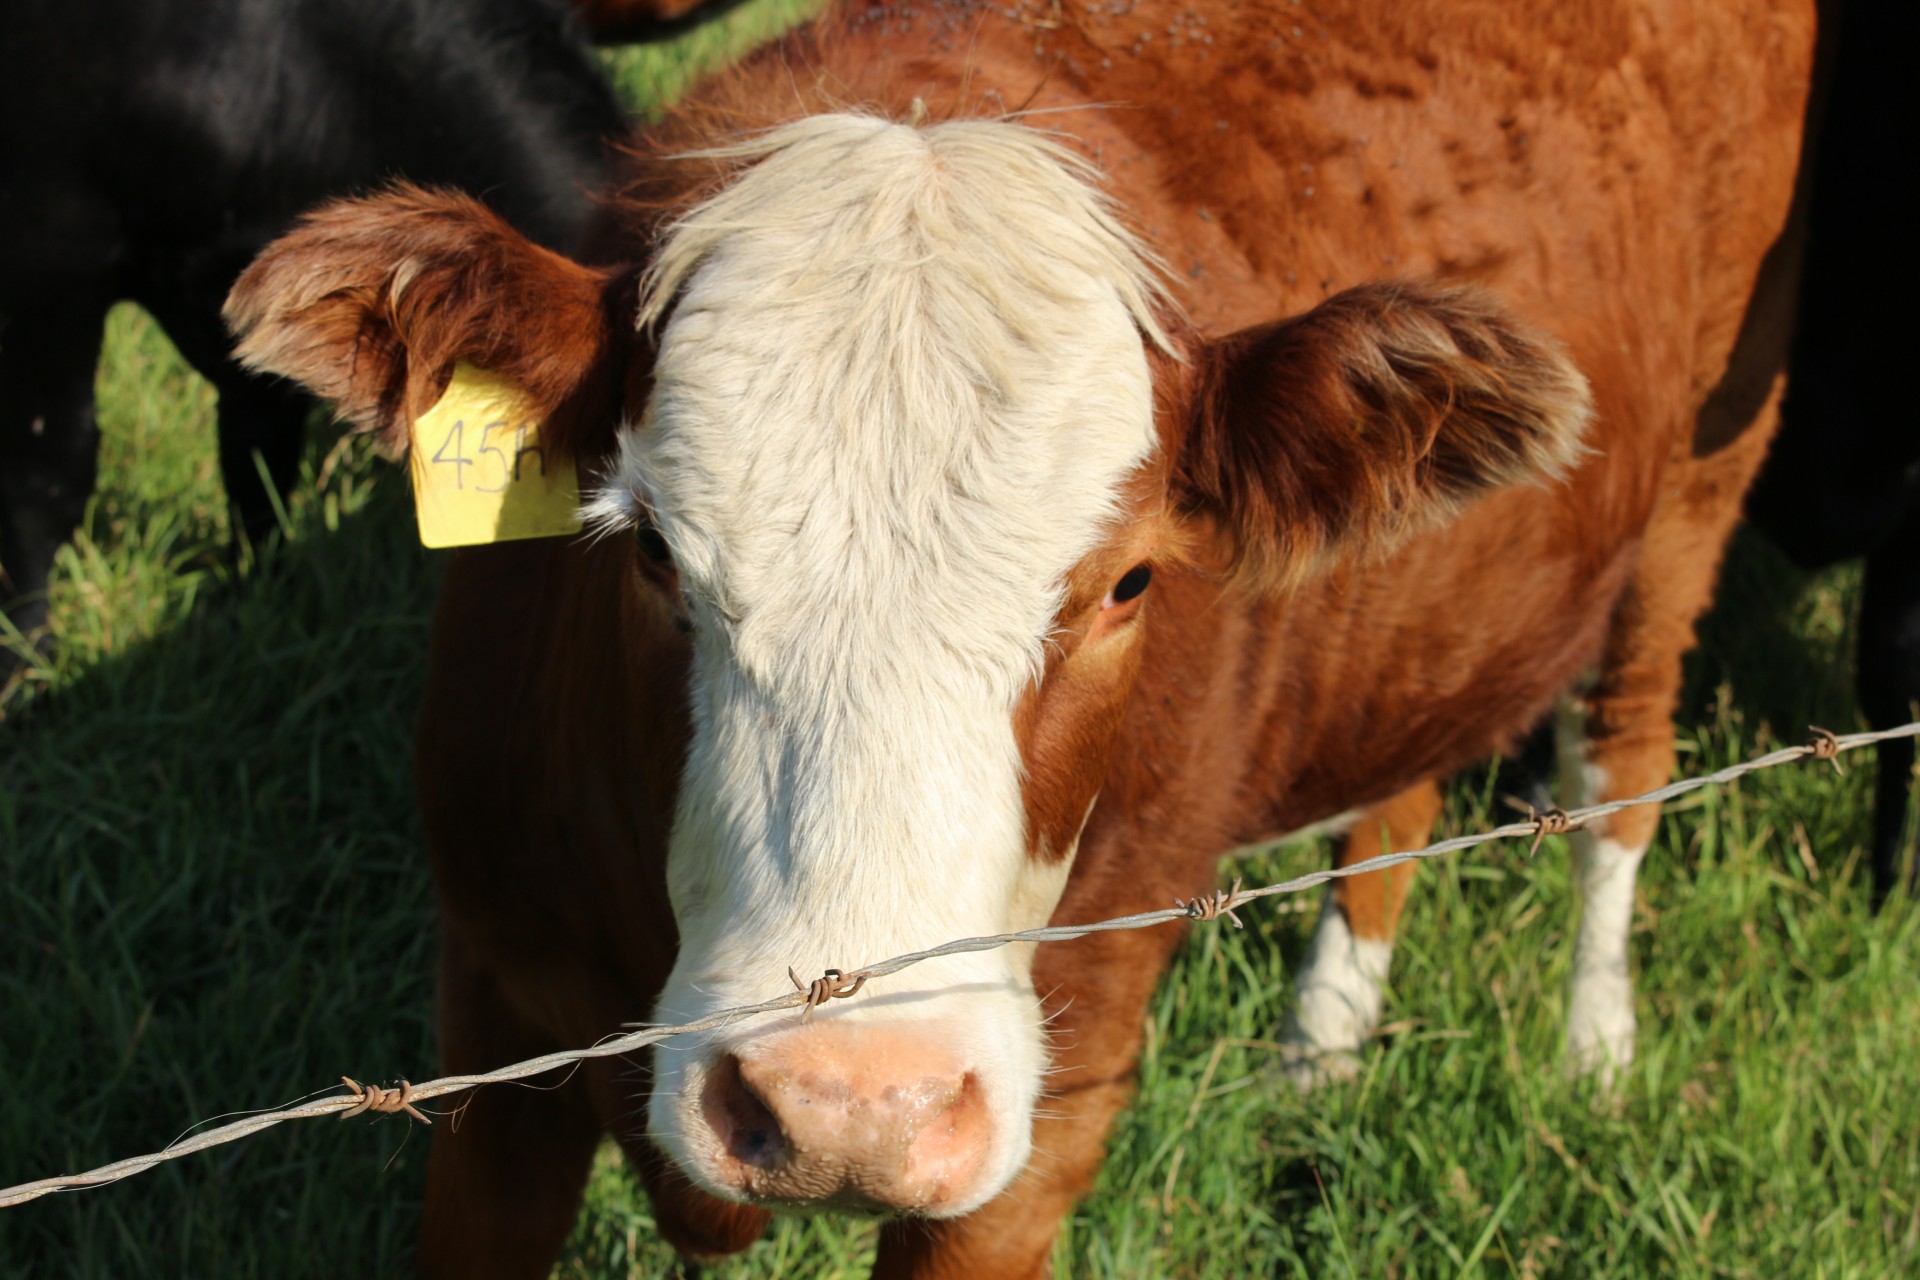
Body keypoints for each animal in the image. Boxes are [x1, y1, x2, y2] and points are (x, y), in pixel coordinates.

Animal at [224, 0, 1812, 1274]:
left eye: (1130, 584)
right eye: (655, 550)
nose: (851, 1104)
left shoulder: (1048, 1111)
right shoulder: (495, 1019)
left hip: (1704, 475)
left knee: (1623, 758)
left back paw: (1595, 1047)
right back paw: (1326, 1038)